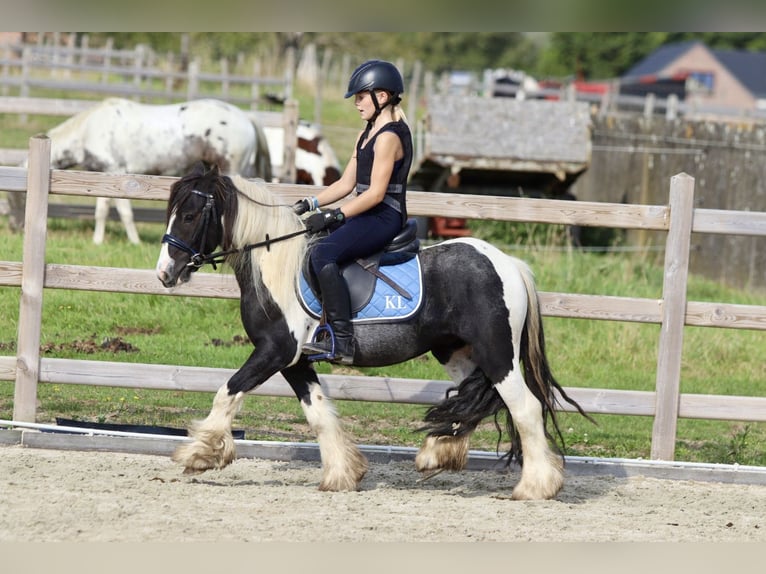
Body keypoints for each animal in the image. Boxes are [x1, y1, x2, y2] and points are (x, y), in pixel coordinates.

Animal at [44, 97, 272, 245]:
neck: (90, 129)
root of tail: (245, 117)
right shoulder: (102, 177)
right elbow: (102, 211)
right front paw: (98, 241)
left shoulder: (118, 172)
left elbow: (125, 212)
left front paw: (135, 241)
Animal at [153, 165, 592, 500]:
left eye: (189, 215)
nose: (165, 273)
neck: (276, 265)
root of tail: (508, 263)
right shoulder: (294, 360)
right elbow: (318, 413)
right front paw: (341, 475)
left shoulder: (276, 351)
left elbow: (227, 391)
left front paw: (198, 454)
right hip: (457, 351)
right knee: (475, 401)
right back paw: (436, 454)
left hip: (497, 351)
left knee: (524, 408)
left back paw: (535, 487)